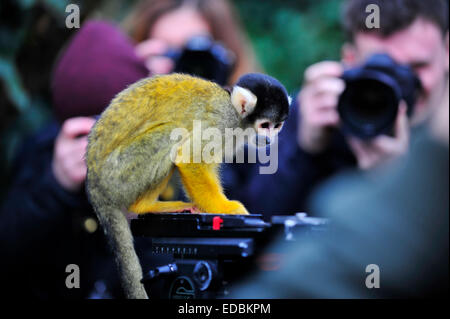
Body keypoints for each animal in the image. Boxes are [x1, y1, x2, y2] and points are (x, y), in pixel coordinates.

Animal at [86, 74, 290, 298]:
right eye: (265, 125)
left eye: (277, 126)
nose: (269, 140)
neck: (237, 116)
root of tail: (94, 184)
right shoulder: (221, 123)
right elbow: (190, 158)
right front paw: (226, 208)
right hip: (119, 175)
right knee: (170, 133)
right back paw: (145, 206)